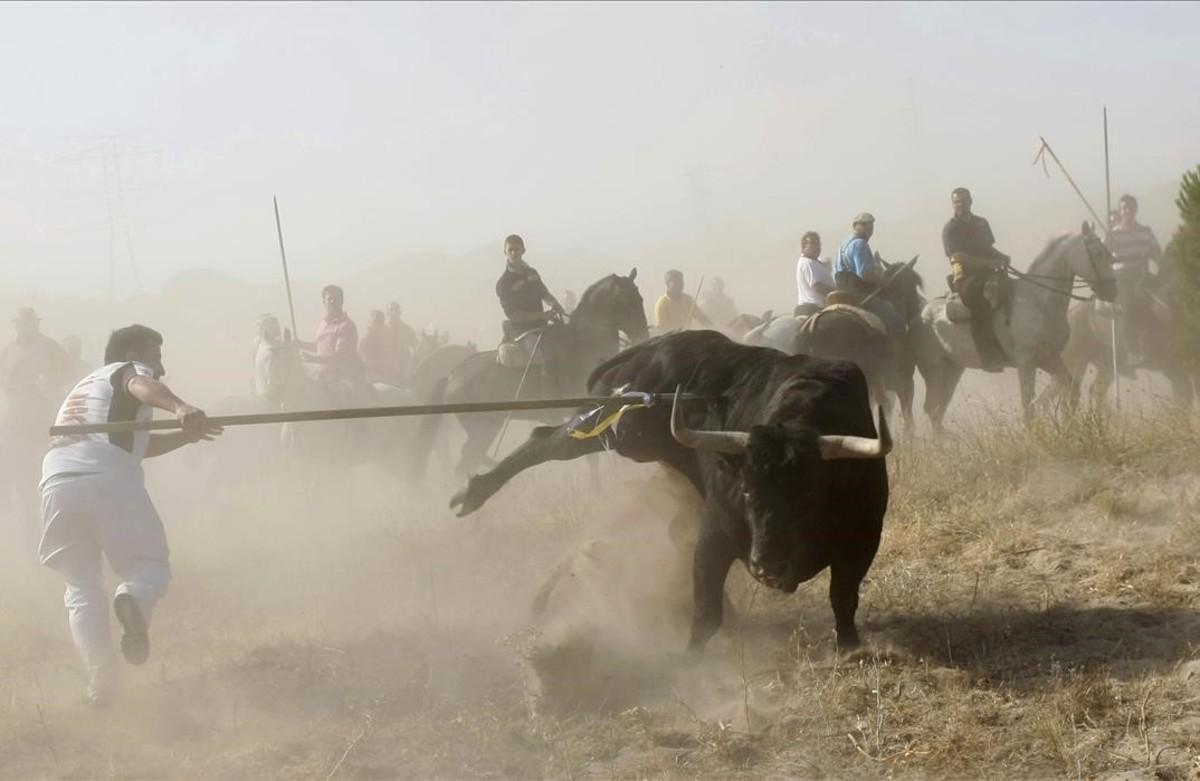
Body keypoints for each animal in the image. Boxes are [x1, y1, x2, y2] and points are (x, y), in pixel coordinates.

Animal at [417, 268, 652, 477]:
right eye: (626, 301)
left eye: (640, 298)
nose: (643, 334)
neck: (582, 343)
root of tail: (451, 376)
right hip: (483, 431)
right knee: (465, 463)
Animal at [451, 331, 892, 652]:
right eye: (747, 491)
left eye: (809, 495)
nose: (766, 564)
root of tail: (654, 346)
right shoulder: (716, 533)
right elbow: (706, 609)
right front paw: (692, 661)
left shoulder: (863, 539)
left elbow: (843, 597)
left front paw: (850, 645)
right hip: (624, 428)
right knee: (547, 440)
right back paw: (472, 494)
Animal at [912, 223, 1118, 431]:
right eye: (1098, 253)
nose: (1111, 291)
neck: (1039, 301)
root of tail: (921, 315)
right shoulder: (1025, 362)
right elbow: (1028, 407)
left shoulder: (1049, 358)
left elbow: (1069, 388)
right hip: (934, 369)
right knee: (932, 408)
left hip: (953, 369)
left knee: (939, 410)